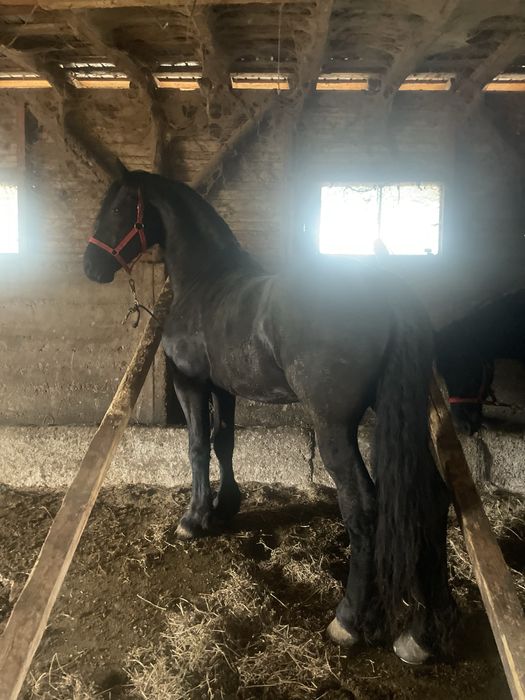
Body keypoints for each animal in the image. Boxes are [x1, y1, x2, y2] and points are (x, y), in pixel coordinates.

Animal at [83, 167, 456, 664]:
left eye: (120, 207)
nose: (90, 265)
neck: (205, 282)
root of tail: (387, 293)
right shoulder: (224, 388)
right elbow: (224, 441)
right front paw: (224, 508)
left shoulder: (190, 381)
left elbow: (197, 446)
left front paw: (193, 519)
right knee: (431, 497)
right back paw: (422, 631)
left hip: (334, 427)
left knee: (364, 506)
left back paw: (349, 621)